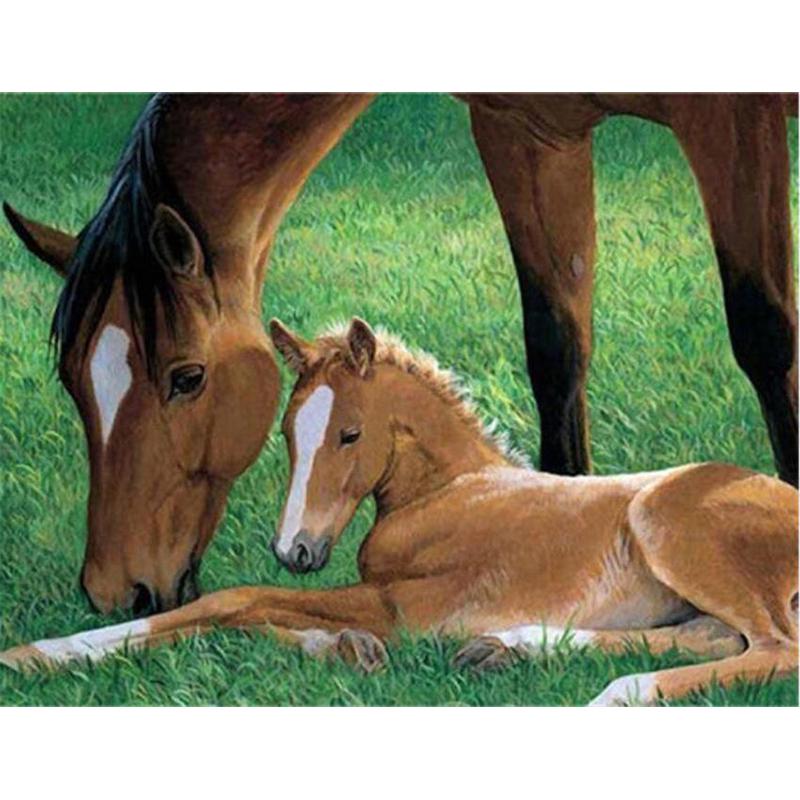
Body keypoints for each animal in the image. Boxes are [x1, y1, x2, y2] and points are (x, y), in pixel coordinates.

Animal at [2, 319, 796, 706]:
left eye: (350, 434)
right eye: (287, 431)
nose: (296, 549)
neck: (447, 492)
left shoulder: (404, 604)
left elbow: (233, 601)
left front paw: (38, 654)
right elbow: (256, 614)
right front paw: (346, 650)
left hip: (669, 525)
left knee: (773, 649)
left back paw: (618, 694)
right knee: (711, 639)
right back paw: (507, 649)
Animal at [4, 93, 797, 616]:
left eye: (187, 377)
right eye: (71, 382)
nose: (113, 590)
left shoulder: (732, 118)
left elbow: (765, 334)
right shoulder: (530, 131)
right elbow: (556, 345)